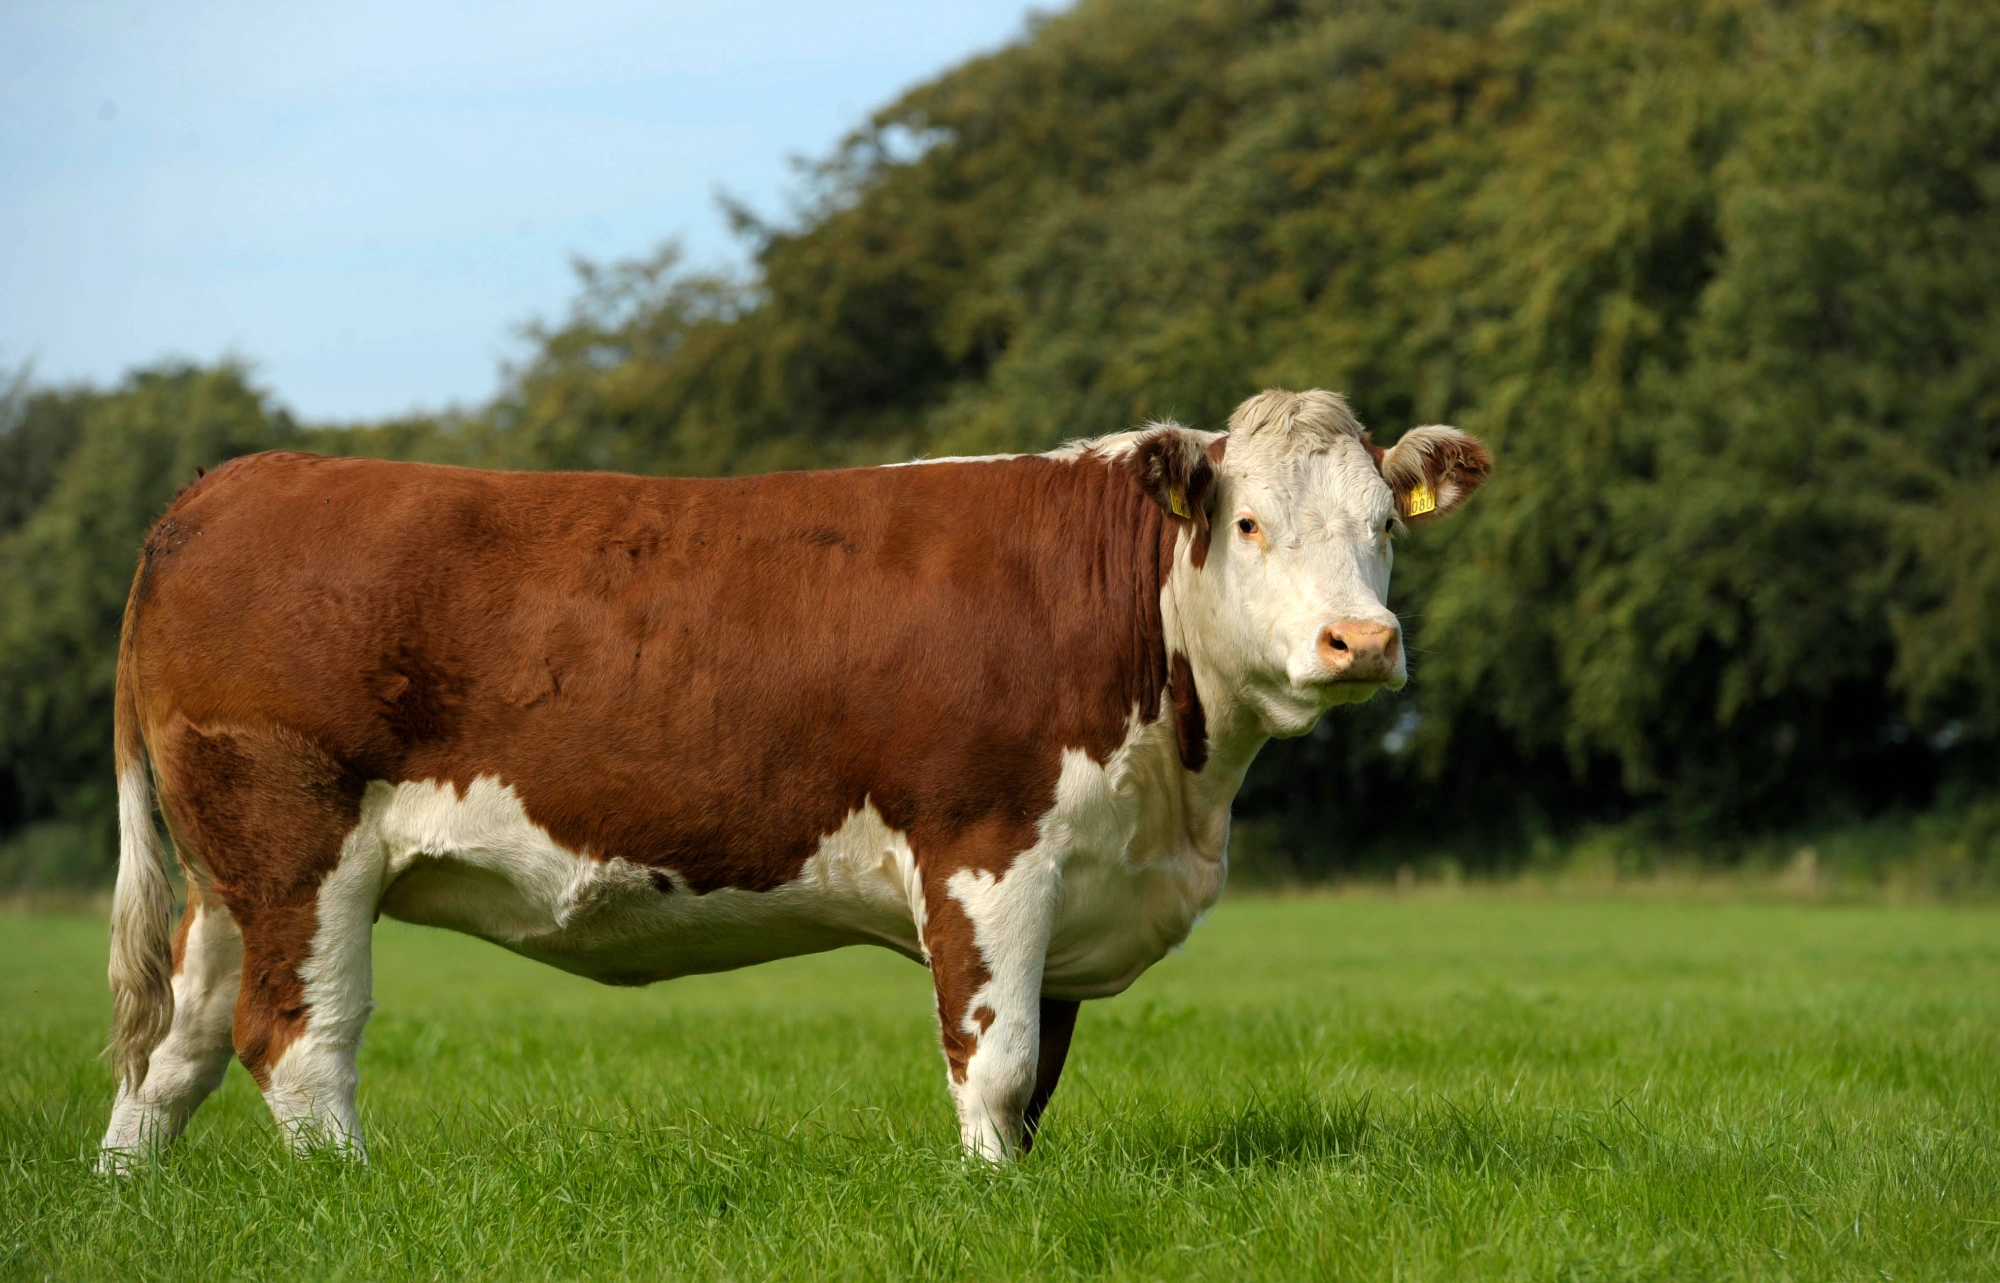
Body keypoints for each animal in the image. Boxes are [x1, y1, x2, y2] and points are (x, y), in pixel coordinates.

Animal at [97, 388, 1489, 1169]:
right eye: (1248, 522)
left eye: (1382, 526)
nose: (1361, 641)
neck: (1178, 798)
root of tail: (224, 487)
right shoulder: (984, 847)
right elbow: (993, 1059)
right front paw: (988, 1206)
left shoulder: (1083, 872)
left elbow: (1038, 1078)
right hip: (296, 842)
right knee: (296, 1041)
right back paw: (352, 1194)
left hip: (229, 872)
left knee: (173, 1038)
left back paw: (125, 1197)